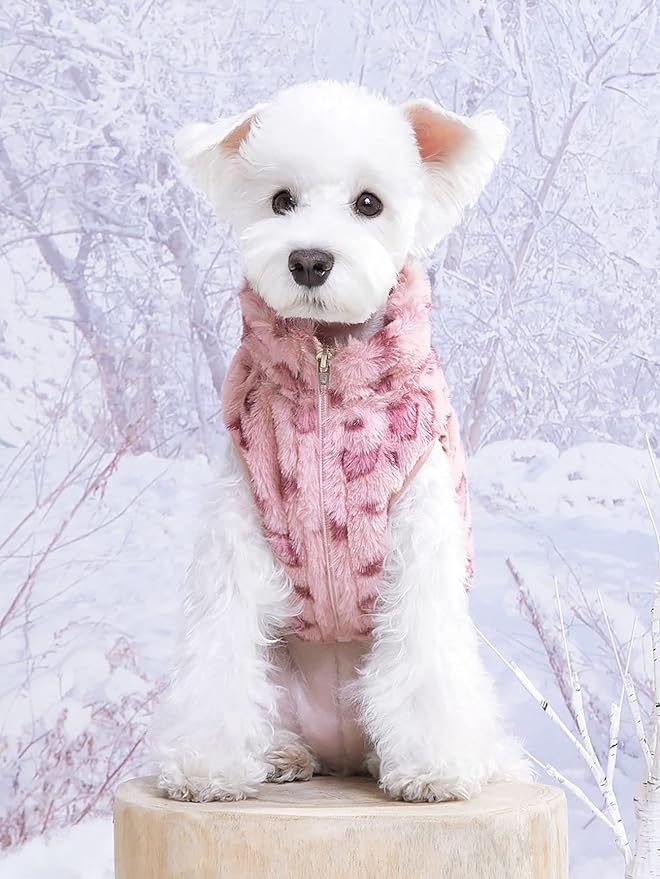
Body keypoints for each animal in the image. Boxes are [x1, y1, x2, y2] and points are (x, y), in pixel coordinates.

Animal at [152, 79, 528, 800]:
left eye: (369, 203)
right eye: (281, 201)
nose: (309, 259)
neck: (328, 374)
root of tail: (341, 755)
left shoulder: (420, 532)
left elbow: (426, 656)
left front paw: (434, 768)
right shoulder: (237, 529)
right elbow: (220, 648)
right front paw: (206, 767)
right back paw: (280, 755)